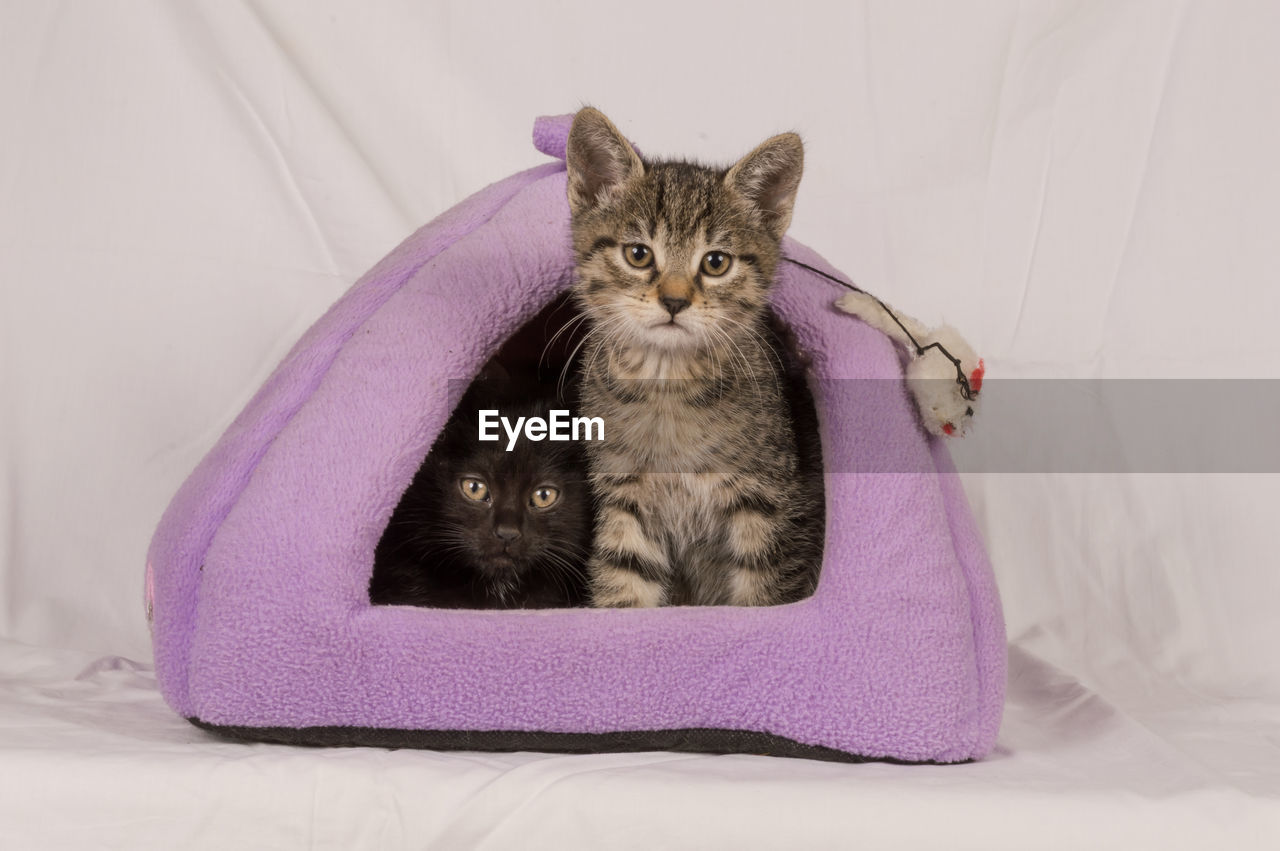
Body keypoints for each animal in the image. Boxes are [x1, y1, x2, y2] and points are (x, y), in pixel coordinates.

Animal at [565, 106, 824, 606]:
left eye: (716, 262)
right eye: (638, 254)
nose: (674, 300)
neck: (668, 386)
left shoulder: (768, 502)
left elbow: (763, 593)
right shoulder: (625, 498)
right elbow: (624, 584)